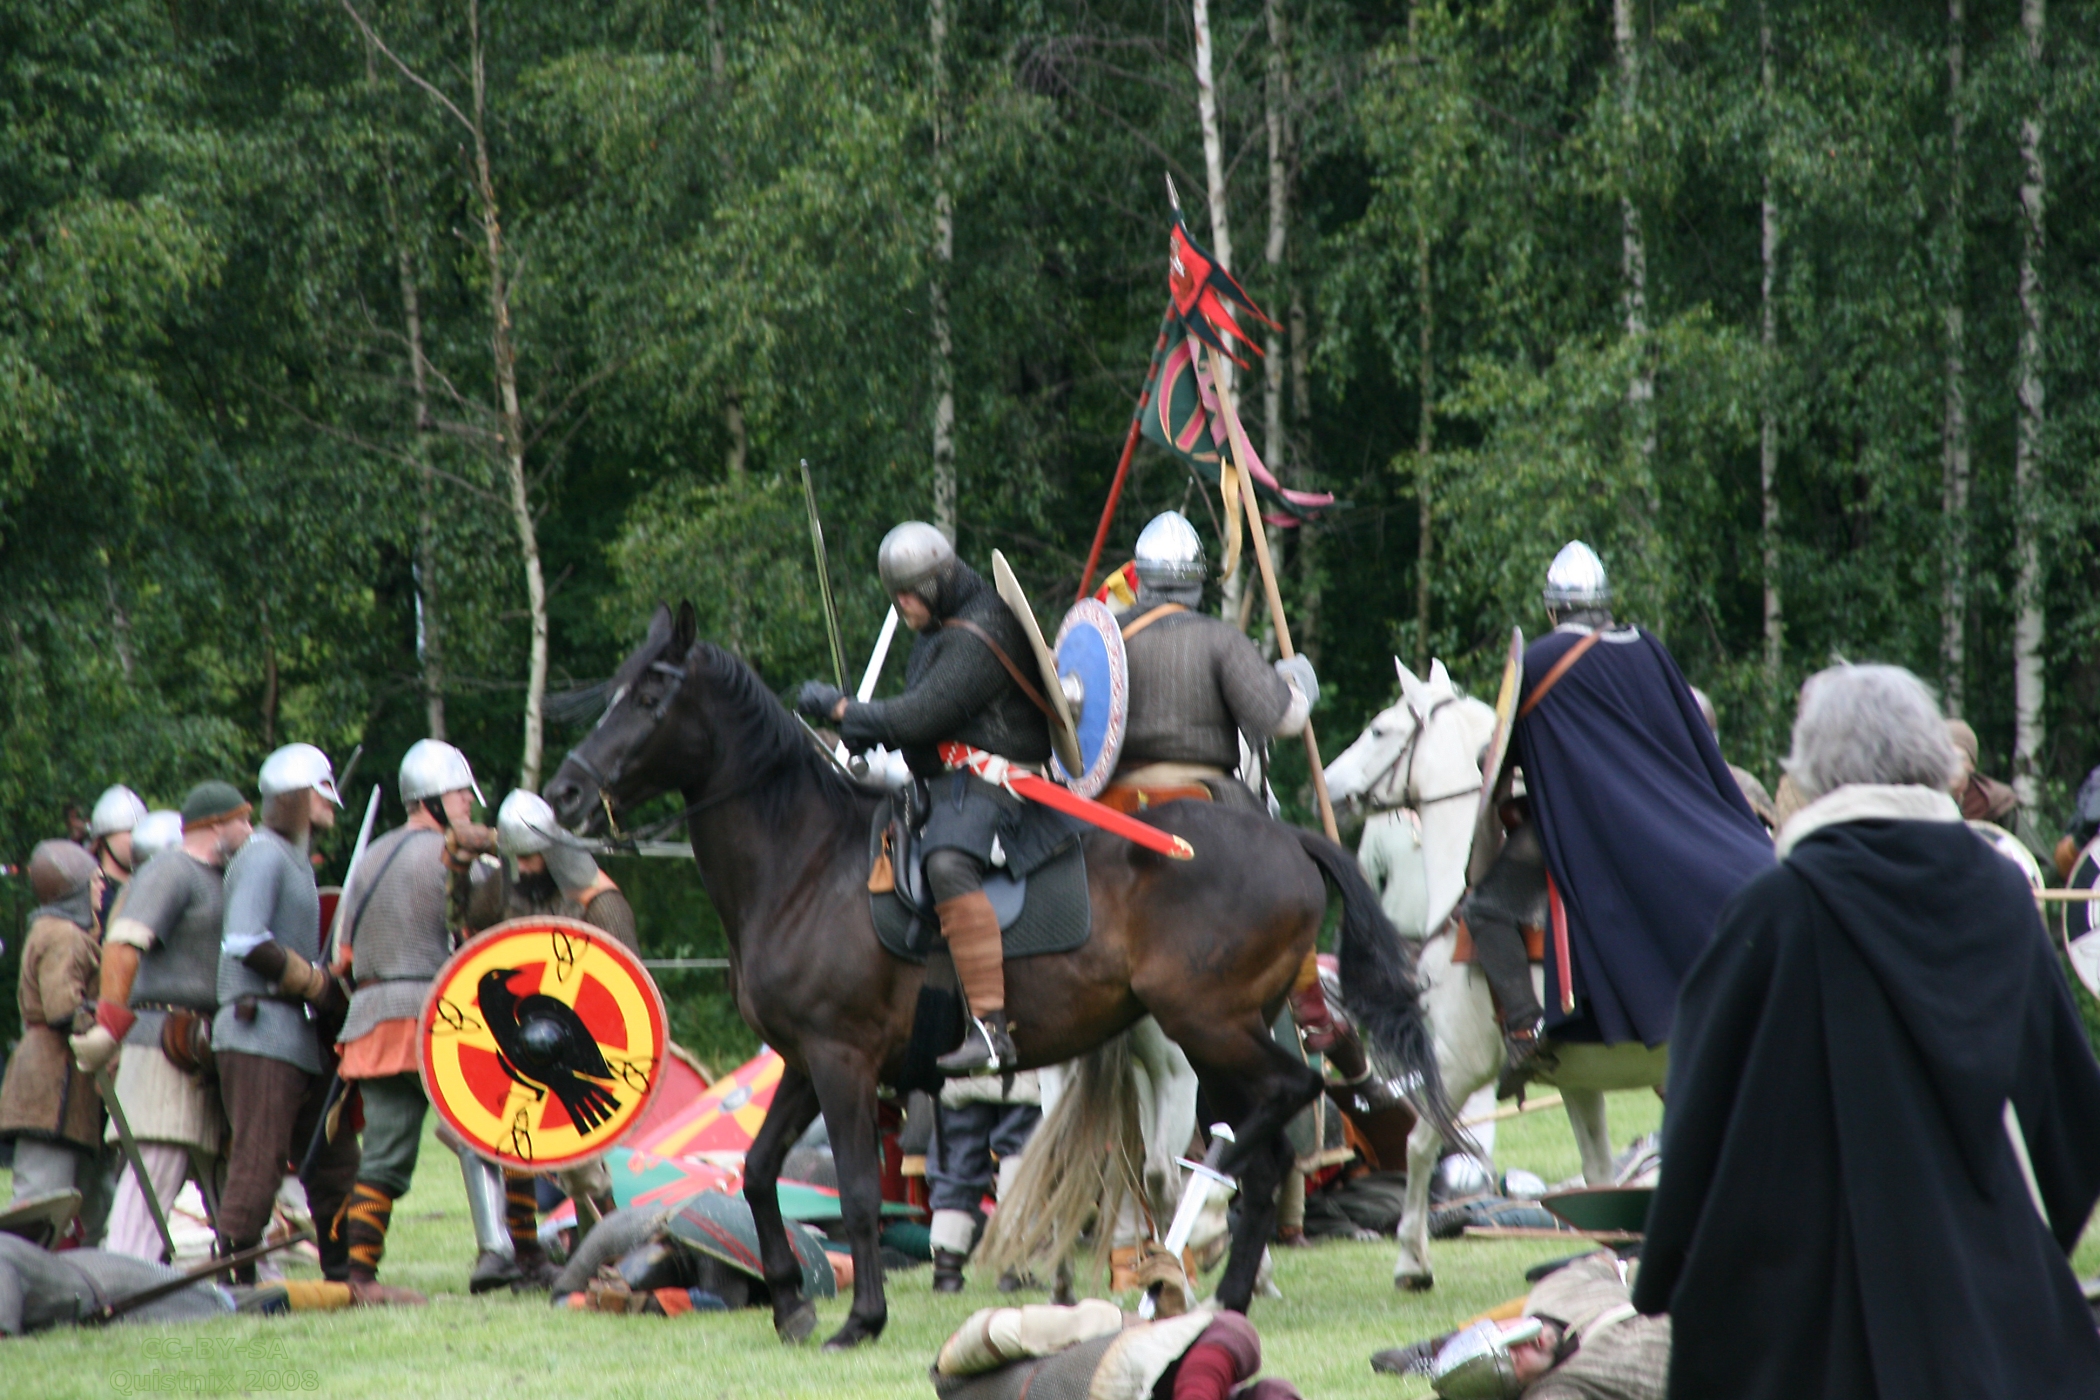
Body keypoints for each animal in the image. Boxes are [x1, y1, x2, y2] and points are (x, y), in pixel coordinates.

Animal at [550, 608, 1453, 1351]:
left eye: (651, 695)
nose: (563, 791)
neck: (805, 863)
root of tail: (1287, 840)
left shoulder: (842, 1062)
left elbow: (855, 1189)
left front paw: (859, 1319)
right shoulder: (806, 1064)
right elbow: (759, 1171)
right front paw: (790, 1302)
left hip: (1209, 1026)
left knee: (1285, 1099)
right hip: (1220, 1036)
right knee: (1265, 1153)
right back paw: (1221, 1294)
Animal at [1335, 659, 1663, 1292]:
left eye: (1380, 729)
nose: (1332, 789)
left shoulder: (1457, 1064)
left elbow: (1419, 1144)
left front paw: (1411, 1261)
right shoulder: (1577, 1080)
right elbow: (1598, 1171)